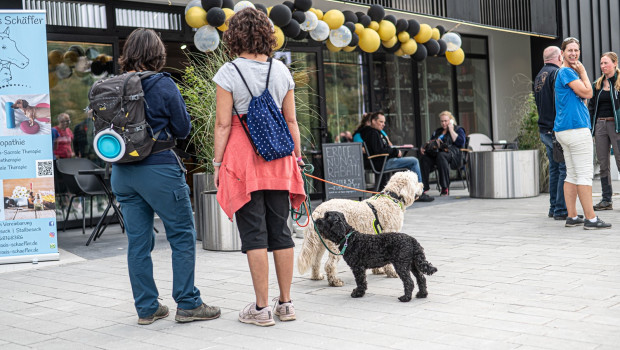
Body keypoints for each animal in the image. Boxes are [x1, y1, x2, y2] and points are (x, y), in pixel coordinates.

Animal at [296, 170, 424, 288]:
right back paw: (335, 281)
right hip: (335, 244)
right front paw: (391, 272)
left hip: (320, 243)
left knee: (315, 262)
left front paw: (378, 270)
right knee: (329, 265)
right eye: (416, 181)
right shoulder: (389, 235)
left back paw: (316, 276)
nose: (422, 185)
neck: (392, 198)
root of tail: (318, 211)